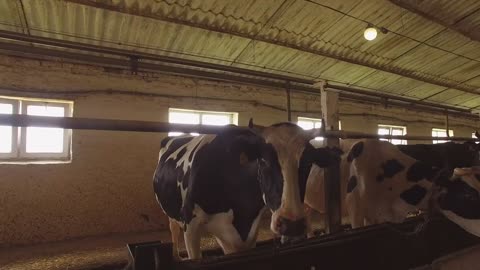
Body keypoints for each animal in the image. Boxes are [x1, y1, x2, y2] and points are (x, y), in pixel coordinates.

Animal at [154, 124, 338, 260]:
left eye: (308, 162)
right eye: (263, 161)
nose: (292, 224)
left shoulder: (248, 231)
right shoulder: (190, 223)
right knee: (173, 228)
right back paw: (176, 256)